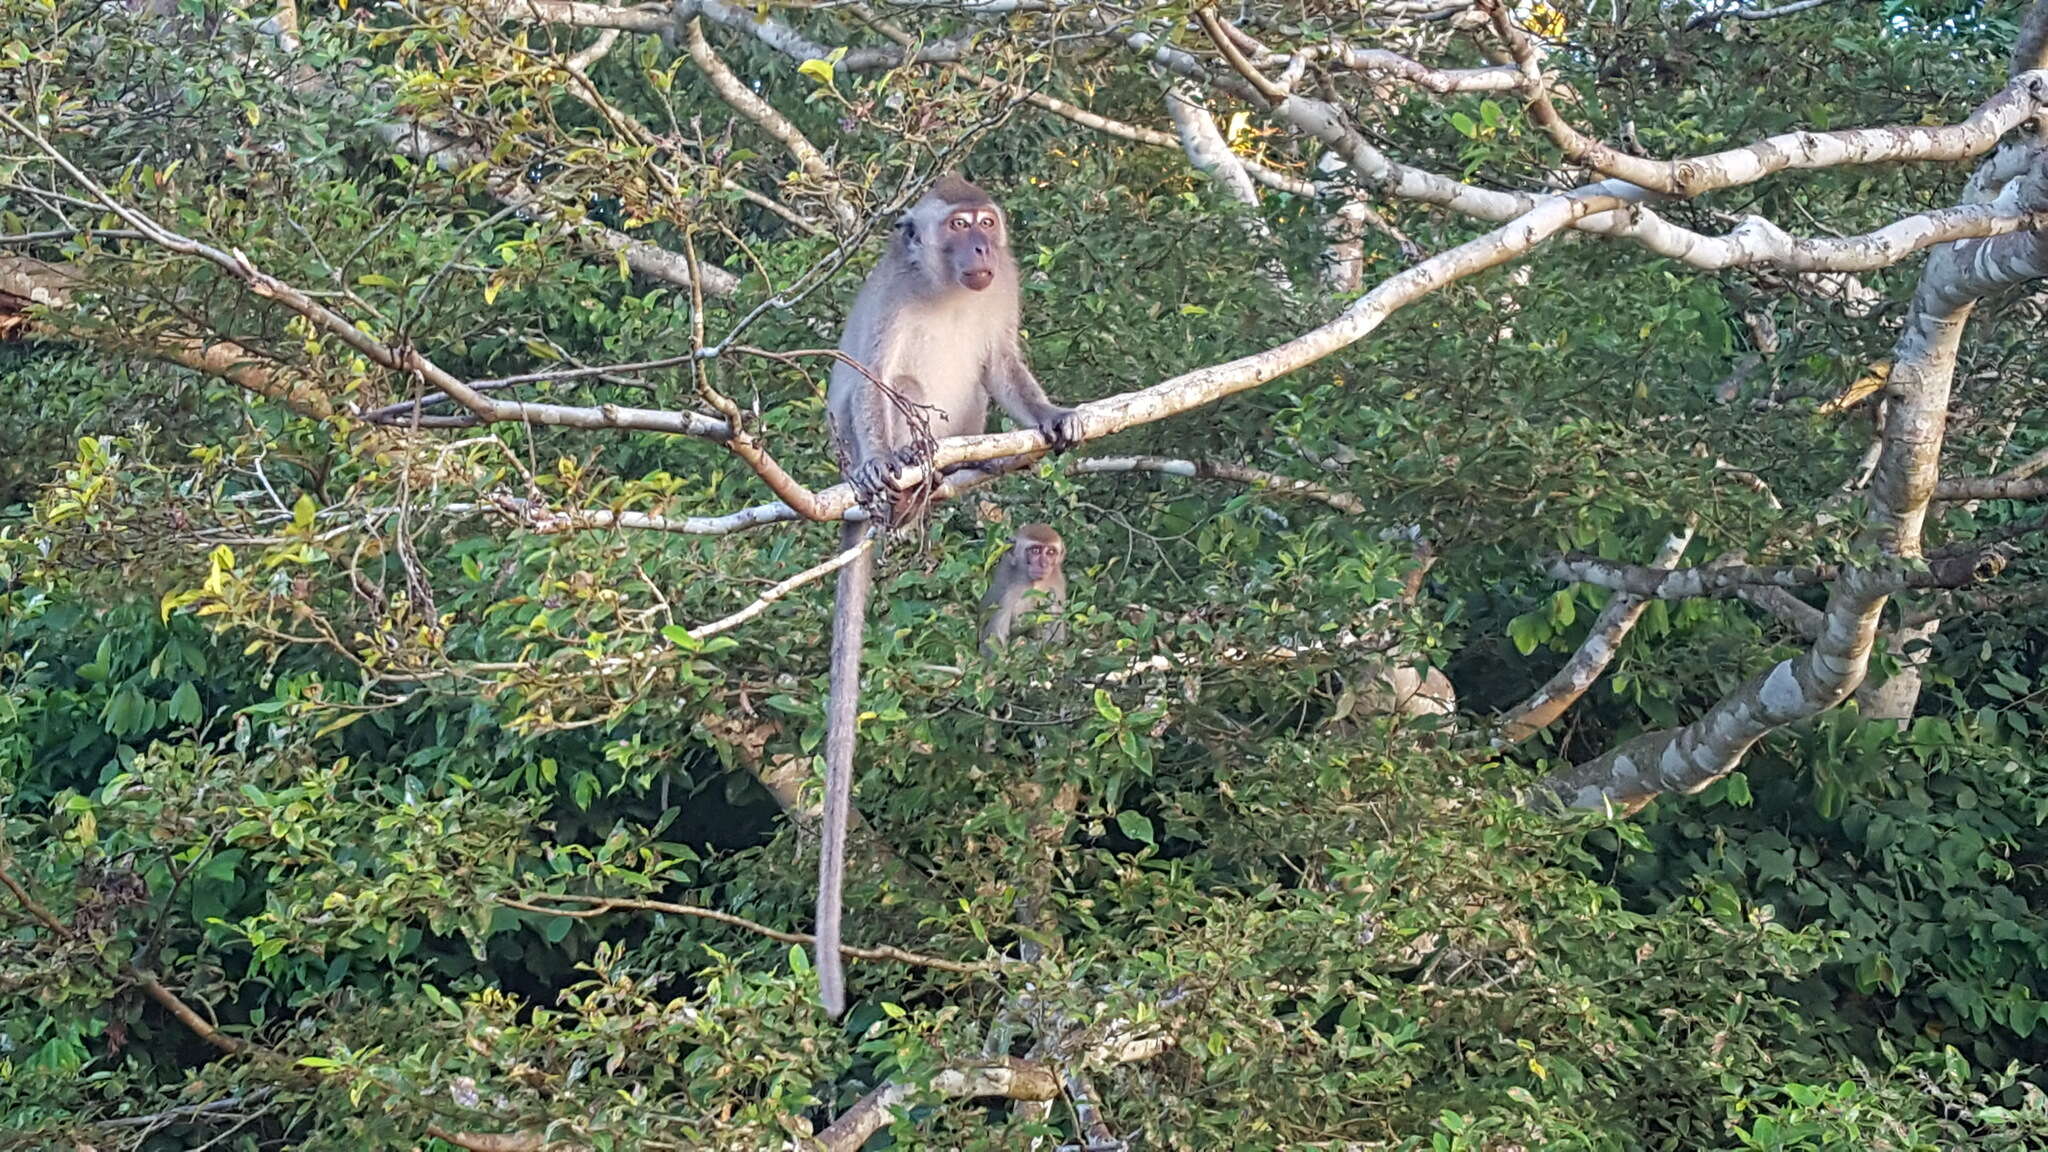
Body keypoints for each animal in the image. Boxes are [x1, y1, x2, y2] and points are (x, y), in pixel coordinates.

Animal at [978, 522, 1073, 655]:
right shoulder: (1009, 591)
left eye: (1051, 552)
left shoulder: (1057, 583)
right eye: (1035, 550)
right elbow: (994, 638)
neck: (1033, 584)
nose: (1044, 564)